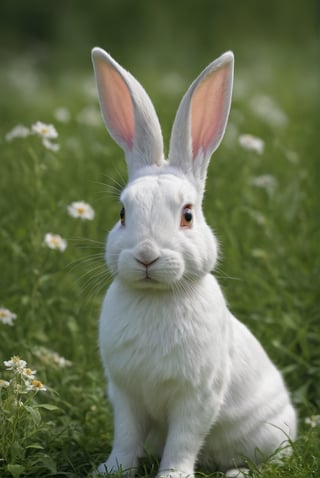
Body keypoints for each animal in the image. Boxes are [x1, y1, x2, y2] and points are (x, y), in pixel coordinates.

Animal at [91, 45, 296, 478]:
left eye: (187, 215)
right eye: (122, 213)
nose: (146, 255)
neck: (156, 296)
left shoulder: (198, 397)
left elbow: (183, 442)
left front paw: (173, 475)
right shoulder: (126, 394)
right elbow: (126, 437)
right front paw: (111, 470)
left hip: (270, 434)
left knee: (277, 459)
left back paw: (239, 472)